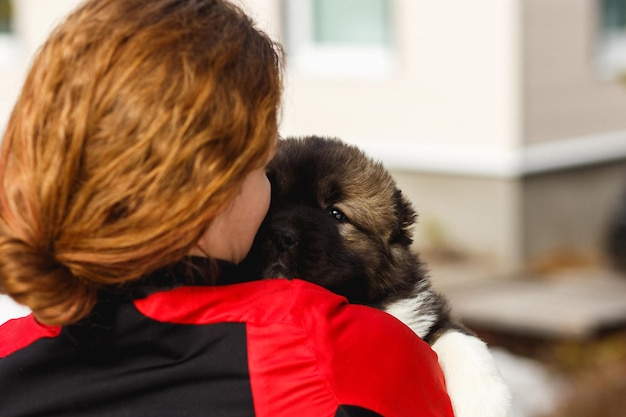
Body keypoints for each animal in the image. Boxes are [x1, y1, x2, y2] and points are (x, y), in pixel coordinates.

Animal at [239, 136, 508, 416]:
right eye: (270, 201)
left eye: (336, 214)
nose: (281, 236)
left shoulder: (423, 314)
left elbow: (460, 338)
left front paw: (484, 402)